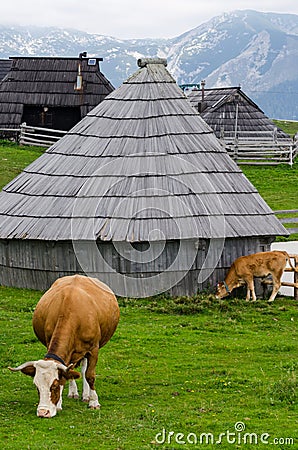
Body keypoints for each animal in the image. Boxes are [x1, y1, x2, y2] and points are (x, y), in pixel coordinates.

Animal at [9, 274, 120, 418]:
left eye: (54, 386)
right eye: (37, 387)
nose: (43, 412)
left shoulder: (93, 349)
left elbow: (90, 375)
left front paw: (94, 402)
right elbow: (66, 374)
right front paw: (59, 405)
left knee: (83, 370)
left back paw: (86, 395)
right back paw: (73, 392)